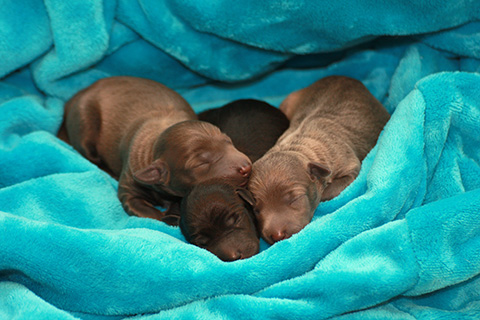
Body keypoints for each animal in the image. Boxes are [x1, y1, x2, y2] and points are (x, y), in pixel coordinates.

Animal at [59, 76, 251, 224]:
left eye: (229, 141)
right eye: (201, 164)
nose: (247, 167)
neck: (155, 143)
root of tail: (77, 95)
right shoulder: (130, 182)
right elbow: (141, 207)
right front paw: (166, 217)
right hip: (83, 120)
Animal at [248, 75, 390, 245]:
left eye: (295, 199)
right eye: (256, 210)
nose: (277, 235)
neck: (298, 147)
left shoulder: (349, 166)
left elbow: (328, 191)